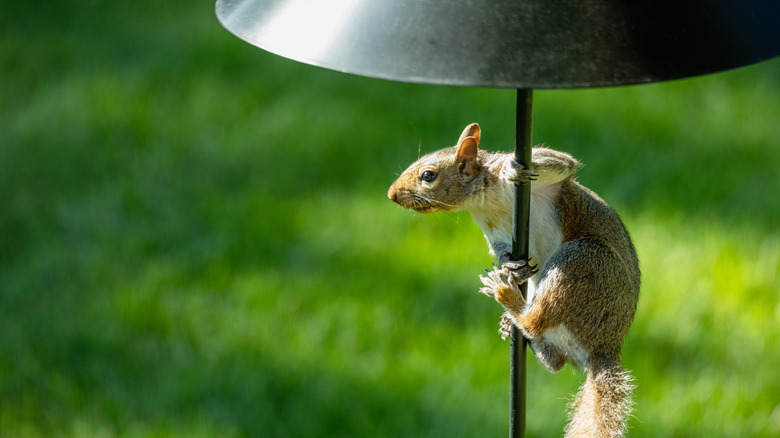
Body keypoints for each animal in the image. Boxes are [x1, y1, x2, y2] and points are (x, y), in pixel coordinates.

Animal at [388, 123, 640, 438]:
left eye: (428, 175)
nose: (392, 194)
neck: (485, 200)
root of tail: (605, 348)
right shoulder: (495, 231)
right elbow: (502, 250)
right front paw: (510, 266)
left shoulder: (549, 182)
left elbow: (563, 163)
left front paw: (511, 168)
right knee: (555, 359)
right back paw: (518, 326)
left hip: (584, 260)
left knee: (537, 320)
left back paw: (507, 297)